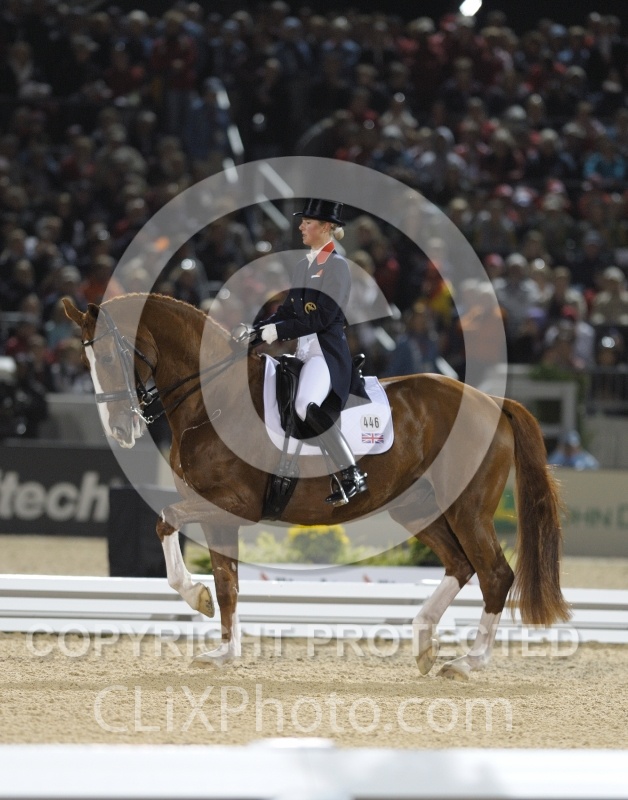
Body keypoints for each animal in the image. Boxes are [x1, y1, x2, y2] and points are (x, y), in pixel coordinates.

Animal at [63, 292, 571, 680]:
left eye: (107, 356)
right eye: (85, 360)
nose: (120, 431)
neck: (213, 399)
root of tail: (492, 401)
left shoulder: (233, 505)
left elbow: (166, 523)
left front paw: (196, 597)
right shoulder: (214, 510)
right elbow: (227, 582)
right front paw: (224, 651)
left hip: (466, 508)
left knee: (494, 573)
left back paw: (469, 661)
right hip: (418, 508)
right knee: (461, 566)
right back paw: (424, 639)